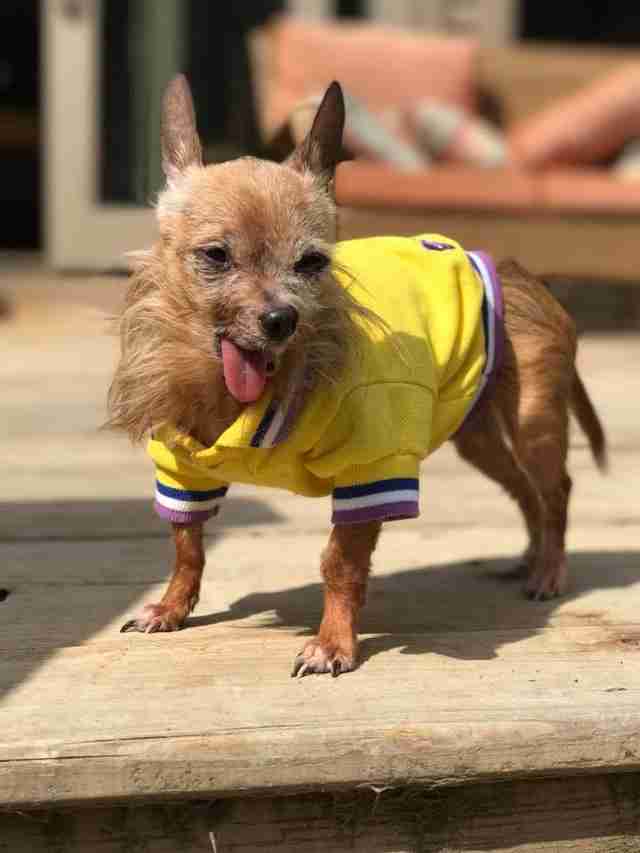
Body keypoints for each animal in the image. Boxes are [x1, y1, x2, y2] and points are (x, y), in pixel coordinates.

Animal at [109, 76, 604, 676]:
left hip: (533, 425)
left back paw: (549, 570)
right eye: (216, 256)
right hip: (478, 438)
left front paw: (333, 644)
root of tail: (522, 275)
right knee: (527, 490)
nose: (281, 319)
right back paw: (529, 559)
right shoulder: (181, 469)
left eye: (311, 263)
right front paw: (172, 608)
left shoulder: (370, 471)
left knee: (556, 489)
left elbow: (339, 562)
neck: (246, 392)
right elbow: (187, 546)